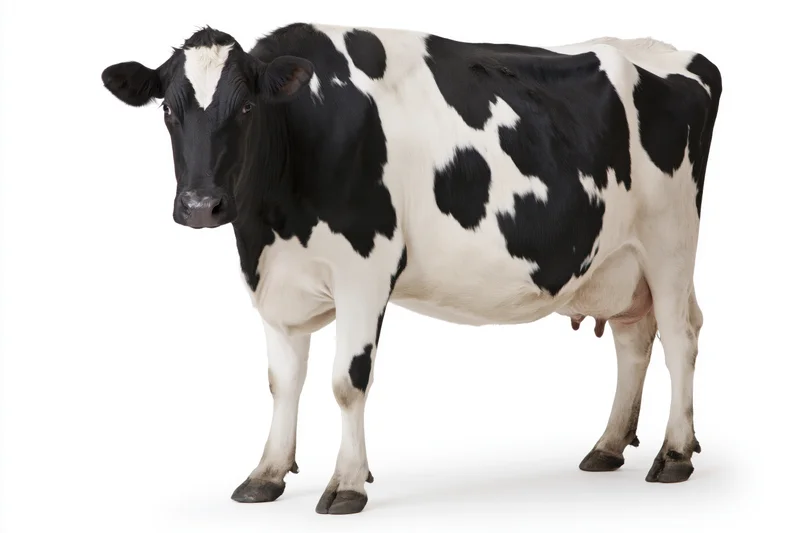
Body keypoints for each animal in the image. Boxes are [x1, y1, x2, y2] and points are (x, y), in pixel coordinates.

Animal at [101, 22, 722, 514]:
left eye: (248, 108)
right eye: (168, 110)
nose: (200, 205)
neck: (272, 222)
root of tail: (676, 54)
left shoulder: (364, 271)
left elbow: (346, 381)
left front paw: (347, 484)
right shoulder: (274, 280)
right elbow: (282, 382)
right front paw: (266, 474)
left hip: (670, 241)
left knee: (680, 337)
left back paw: (674, 454)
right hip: (621, 262)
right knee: (634, 339)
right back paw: (609, 446)